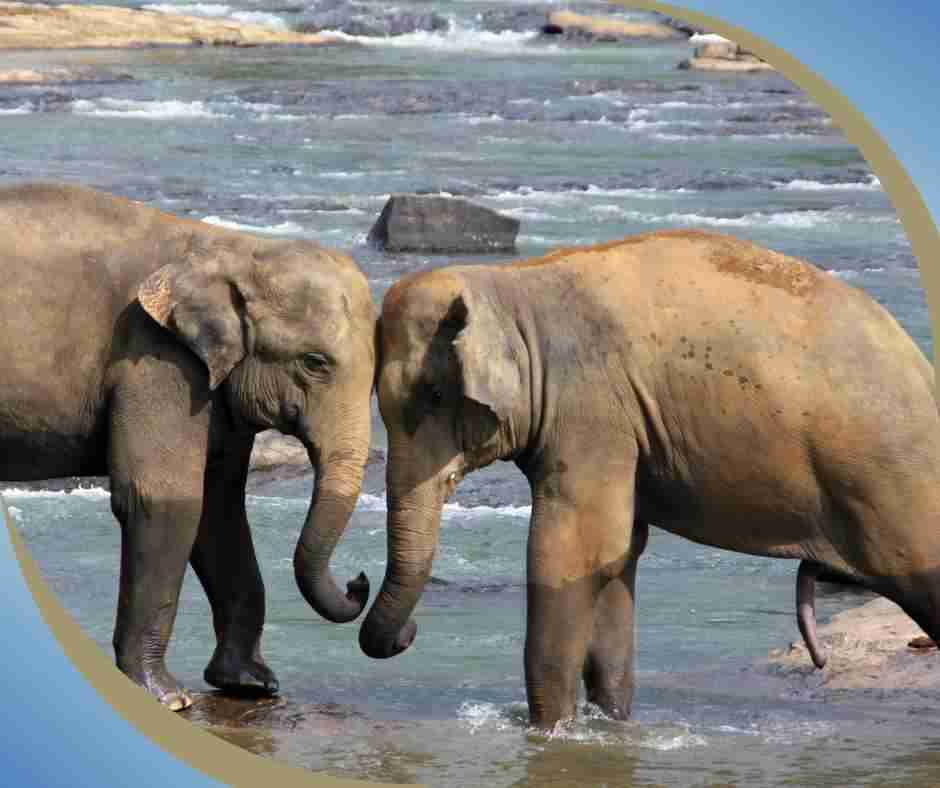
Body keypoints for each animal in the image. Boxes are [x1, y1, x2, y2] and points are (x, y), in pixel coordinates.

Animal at [0, 182, 374, 712]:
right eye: (315, 362)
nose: (359, 581)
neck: (233, 248)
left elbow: (219, 506)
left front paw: (251, 684)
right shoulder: (154, 357)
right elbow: (166, 499)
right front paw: (168, 699)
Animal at [360, 226, 940, 728]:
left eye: (434, 395)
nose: (408, 631)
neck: (511, 283)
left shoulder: (591, 408)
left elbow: (571, 552)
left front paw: (549, 731)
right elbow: (618, 557)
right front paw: (610, 724)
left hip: (894, 482)